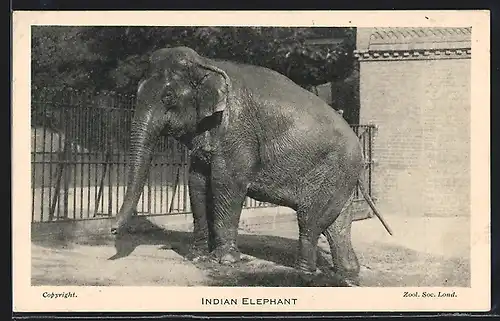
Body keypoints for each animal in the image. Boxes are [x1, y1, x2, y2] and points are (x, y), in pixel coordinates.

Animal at [111, 46, 392, 284]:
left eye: (168, 97)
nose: (113, 229)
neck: (207, 62)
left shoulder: (237, 133)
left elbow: (226, 185)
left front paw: (225, 261)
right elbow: (197, 182)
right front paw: (197, 256)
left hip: (332, 170)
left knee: (310, 220)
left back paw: (304, 274)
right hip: (341, 177)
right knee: (337, 223)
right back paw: (347, 275)